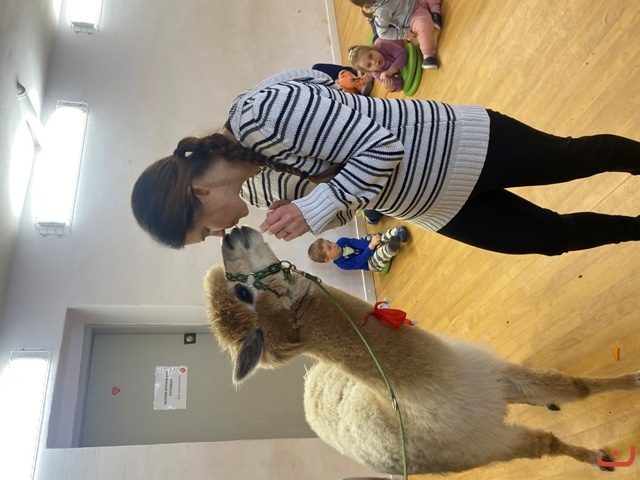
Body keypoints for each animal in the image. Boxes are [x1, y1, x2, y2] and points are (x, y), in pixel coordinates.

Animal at [204, 226, 639, 476]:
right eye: (242, 292)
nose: (229, 234)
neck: (428, 395)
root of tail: (310, 389)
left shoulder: (494, 377)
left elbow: (576, 388)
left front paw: (634, 380)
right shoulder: (487, 446)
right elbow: (547, 444)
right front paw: (598, 460)